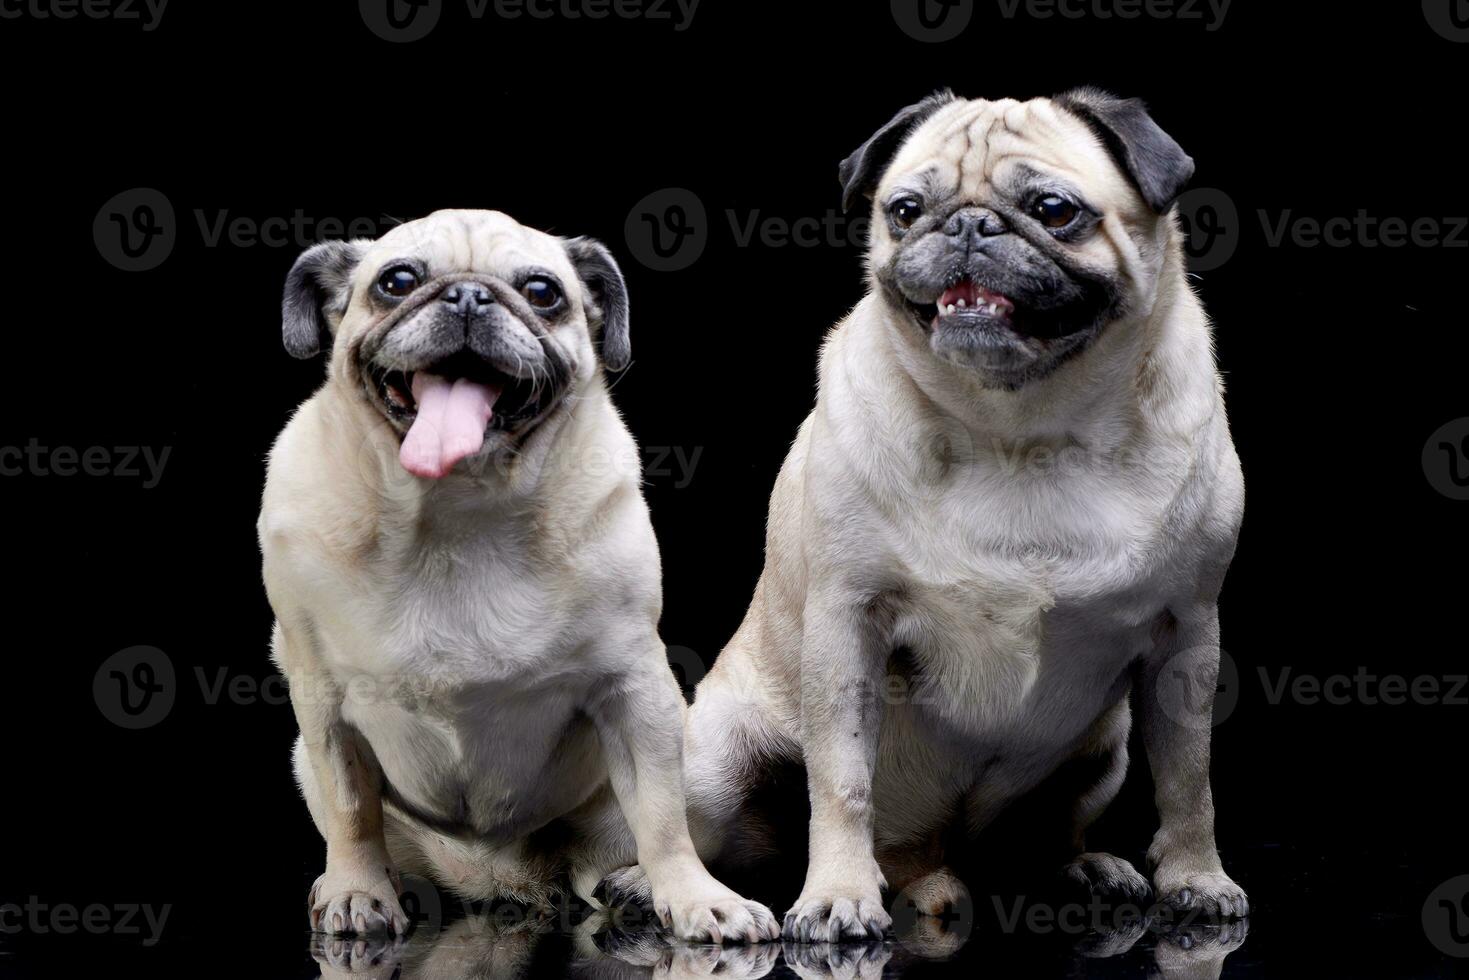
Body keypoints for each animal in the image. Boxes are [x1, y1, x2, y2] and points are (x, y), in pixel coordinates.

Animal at [260, 211, 781, 946]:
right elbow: (350, 808)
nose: (469, 296)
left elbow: (660, 814)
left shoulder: (634, 686)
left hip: (703, 768)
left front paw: (695, 897)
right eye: (397, 282)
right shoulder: (321, 700)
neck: (456, 511)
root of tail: (508, 881)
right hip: (307, 763)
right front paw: (359, 889)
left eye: (541, 292)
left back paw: (636, 887)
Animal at [602, 91, 1245, 940]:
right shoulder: (848, 623)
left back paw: (1082, 867)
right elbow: (841, 781)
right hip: (708, 764)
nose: (967, 224)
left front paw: (1197, 878)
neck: (1023, 433)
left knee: (1052, 828)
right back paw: (644, 886)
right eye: (905, 210)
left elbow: (1188, 778)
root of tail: (923, 858)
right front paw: (837, 895)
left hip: (1101, 753)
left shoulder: (1186, 633)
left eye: (1054, 210)